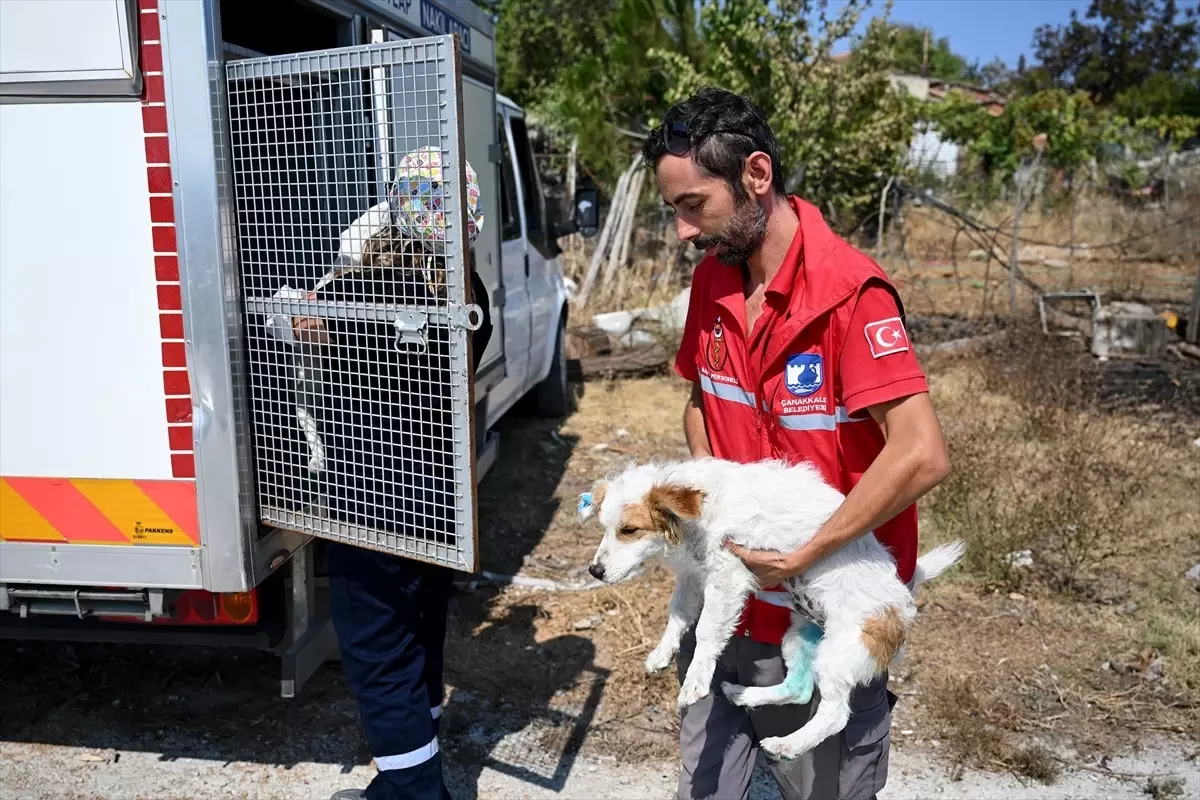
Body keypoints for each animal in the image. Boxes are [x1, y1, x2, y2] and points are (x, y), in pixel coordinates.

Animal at [576, 460, 960, 762]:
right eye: (604, 529)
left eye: (629, 530)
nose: (594, 571)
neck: (698, 513)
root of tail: (902, 602)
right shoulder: (692, 576)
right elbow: (679, 615)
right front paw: (661, 652)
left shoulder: (728, 575)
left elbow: (705, 631)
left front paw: (696, 680)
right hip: (798, 635)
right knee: (798, 688)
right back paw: (742, 693)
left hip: (842, 652)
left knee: (835, 714)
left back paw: (787, 745)